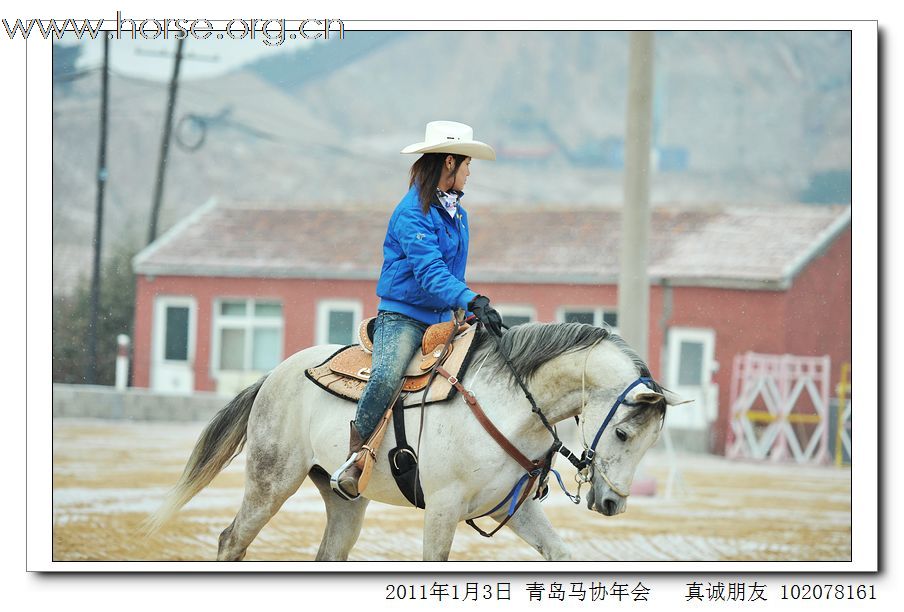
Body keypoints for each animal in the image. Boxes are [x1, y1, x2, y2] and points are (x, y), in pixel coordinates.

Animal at [147, 322, 684, 560]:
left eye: (651, 441)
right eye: (622, 431)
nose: (612, 503)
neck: (506, 405)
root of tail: (274, 375)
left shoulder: (512, 509)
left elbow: (560, 554)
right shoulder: (443, 510)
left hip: (345, 502)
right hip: (270, 482)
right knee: (232, 539)